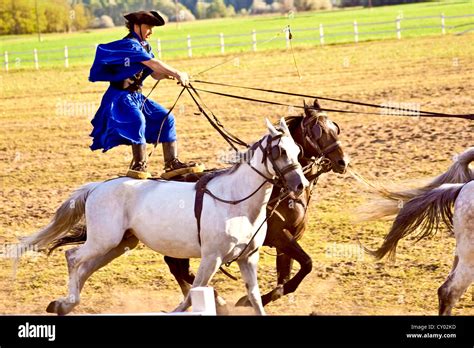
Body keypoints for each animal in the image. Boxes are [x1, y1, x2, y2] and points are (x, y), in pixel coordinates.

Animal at [16, 117, 310, 316]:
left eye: (298, 150)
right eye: (281, 151)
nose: (300, 185)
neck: (235, 201)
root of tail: (98, 187)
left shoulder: (248, 258)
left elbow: (255, 297)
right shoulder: (211, 258)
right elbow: (194, 291)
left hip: (120, 244)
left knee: (85, 266)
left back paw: (64, 304)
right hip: (103, 240)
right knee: (73, 257)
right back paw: (67, 301)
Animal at [165, 98, 346, 308]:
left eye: (335, 127)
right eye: (318, 131)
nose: (343, 162)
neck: (282, 193)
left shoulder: (288, 241)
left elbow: (284, 280)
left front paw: (255, 299)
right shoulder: (280, 237)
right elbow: (307, 264)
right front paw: (245, 301)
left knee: (177, 267)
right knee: (178, 267)